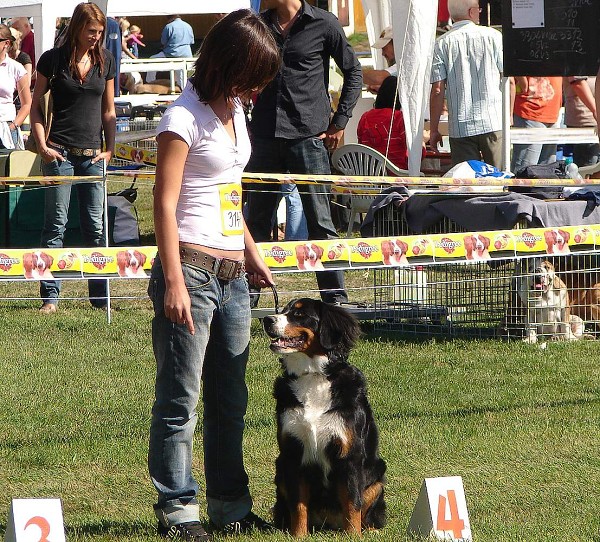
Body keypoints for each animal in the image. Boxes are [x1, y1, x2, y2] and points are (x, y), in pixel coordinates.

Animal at [262, 302, 384, 540]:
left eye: (299, 313)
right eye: (283, 309)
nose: (267, 320)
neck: (313, 377)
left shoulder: (349, 454)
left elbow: (353, 503)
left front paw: (353, 536)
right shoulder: (293, 453)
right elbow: (298, 505)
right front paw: (298, 536)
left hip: (377, 477)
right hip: (279, 471)